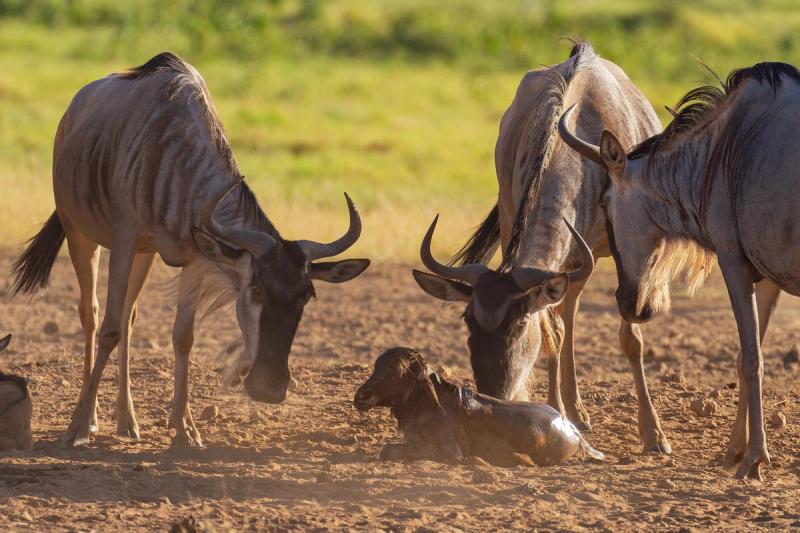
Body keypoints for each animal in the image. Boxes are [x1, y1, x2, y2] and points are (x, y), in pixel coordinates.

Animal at [11, 52, 370, 447]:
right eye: (256, 289)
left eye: (307, 295)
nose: (270, 388)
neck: (177, 154)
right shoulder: (123, 239)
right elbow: (108, 329)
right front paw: (76, 427)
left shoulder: (196, 256)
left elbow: (183, 336)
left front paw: (185, 428)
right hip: (80, 234)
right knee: (91, 314)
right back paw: (90, 419)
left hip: (145, 254)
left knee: (129, 317)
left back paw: (127, 420)